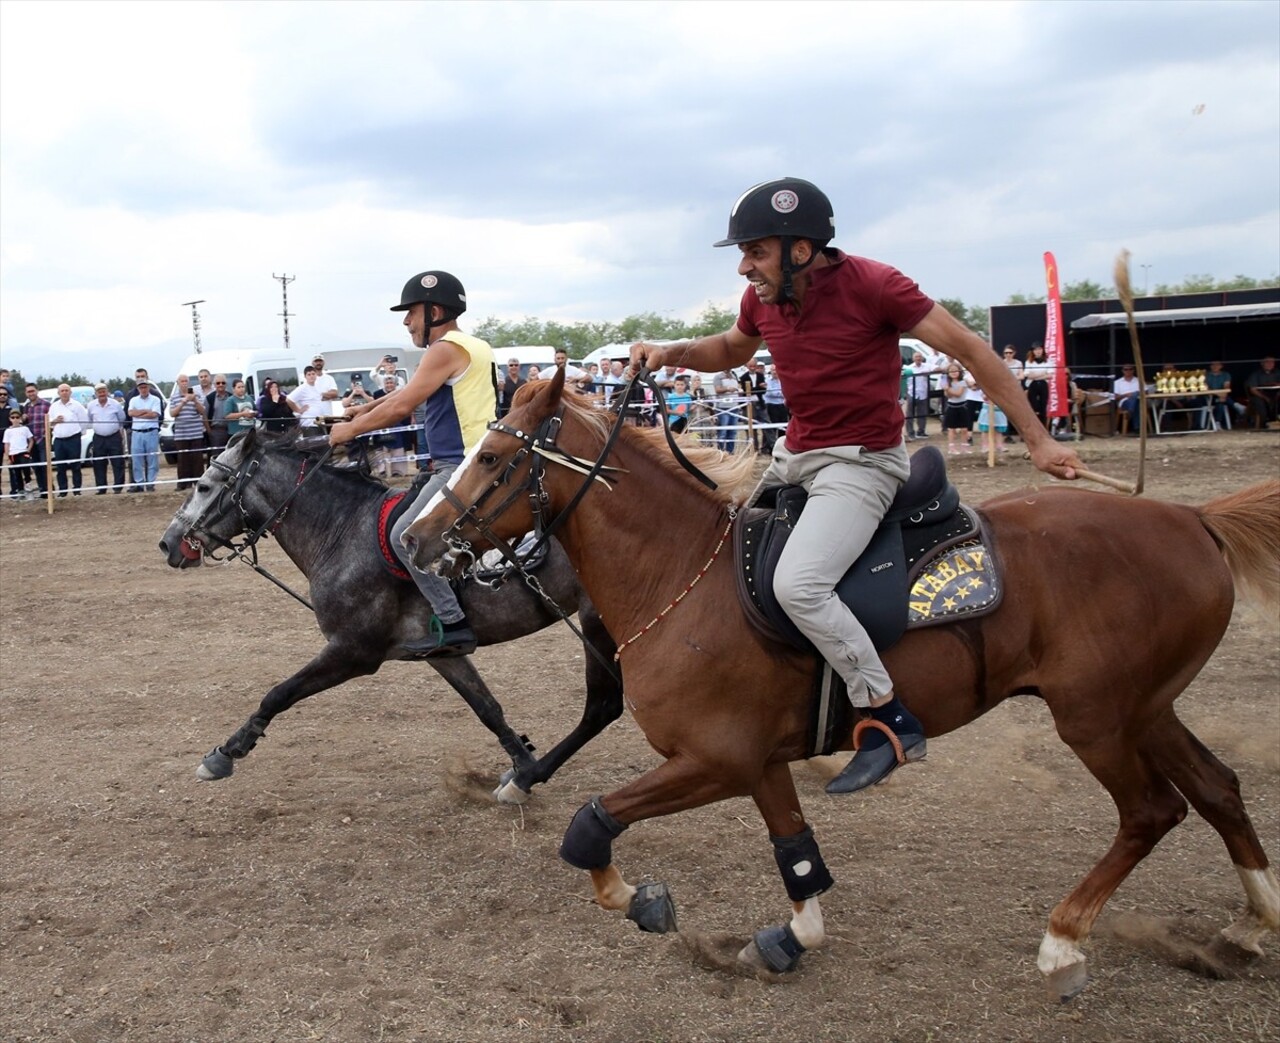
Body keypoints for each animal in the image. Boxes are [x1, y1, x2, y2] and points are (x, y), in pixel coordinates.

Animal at [154, 427, 624, 803]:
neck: (343, 530)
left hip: (598, 627)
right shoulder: (444, 653)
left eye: (205, 486)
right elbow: (488, 708)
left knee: (603, 707)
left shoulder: (354, 651)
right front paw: (521, 759)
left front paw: (226, 752)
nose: (168, 543)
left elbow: (279, 693)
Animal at [407, 366, 1280, 993]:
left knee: (1152, 811)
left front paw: (640, 899)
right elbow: (796, 850)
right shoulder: (757, 761)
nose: (416, 538)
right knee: (1218, 787)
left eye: (493, 458)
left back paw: (1064, 942)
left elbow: (591, 822)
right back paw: (1248, 927)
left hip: (1096, 717)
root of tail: (1192, 518)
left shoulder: (713, 760)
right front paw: (789, 937)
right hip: (1146, 708)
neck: (683, 577)